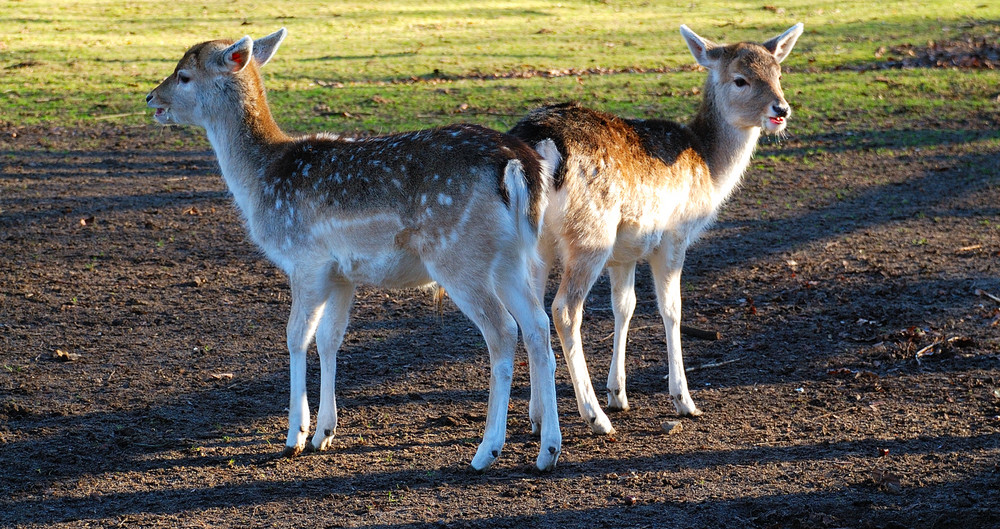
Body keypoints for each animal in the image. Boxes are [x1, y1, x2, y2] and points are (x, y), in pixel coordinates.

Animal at [146, 28, 564, 470]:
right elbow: (330, 338)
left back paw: (487, 451)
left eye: (184, 75)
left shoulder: (304, 259)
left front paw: (295, 436)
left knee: (503, 331)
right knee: (537, 326)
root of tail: (519, 165)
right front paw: (324, 434)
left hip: (459, 257)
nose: (151, 98)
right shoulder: (343, 274)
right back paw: (548, 450)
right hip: (512, 257)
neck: (261, 181)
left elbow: (296, 335)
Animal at [508, 21, 804, 434]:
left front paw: (619, 394)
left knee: (531, 312)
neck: (709, 167)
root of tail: (537, 142)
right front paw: (684, 400)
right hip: (591, 234)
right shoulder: (675, 237)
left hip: (536, 243)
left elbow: (625, 306)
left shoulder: (625, 253)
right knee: (564, 310)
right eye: (740, 79)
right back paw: (595, 417)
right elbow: (671, 309)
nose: (781, 109)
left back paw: (538, 417)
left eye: (778, 73)